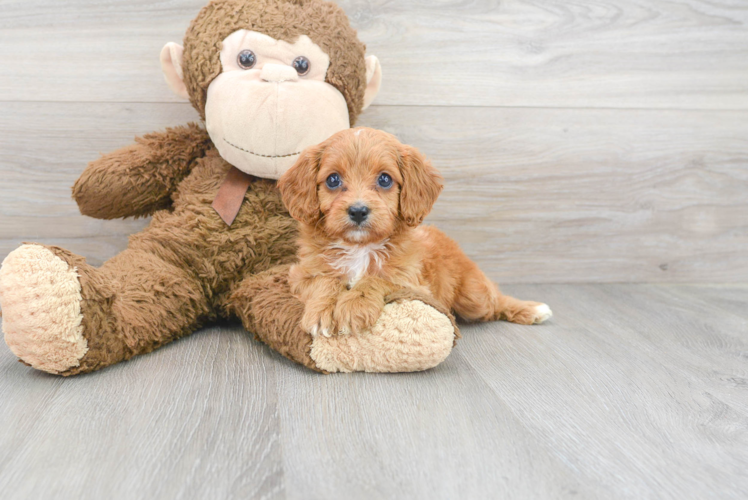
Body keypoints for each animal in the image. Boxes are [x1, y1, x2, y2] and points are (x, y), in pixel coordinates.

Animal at [278, 127, 552, 338]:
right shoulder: (300, 274)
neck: (360, 248)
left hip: (473, 297)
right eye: (333, 180)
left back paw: (533, 309)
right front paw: (322, 311)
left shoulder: (412, 283)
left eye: (385, 180)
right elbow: (325, 280)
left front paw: (354, 305)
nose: (358, 211)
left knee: (496, 300)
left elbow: (376, 279)